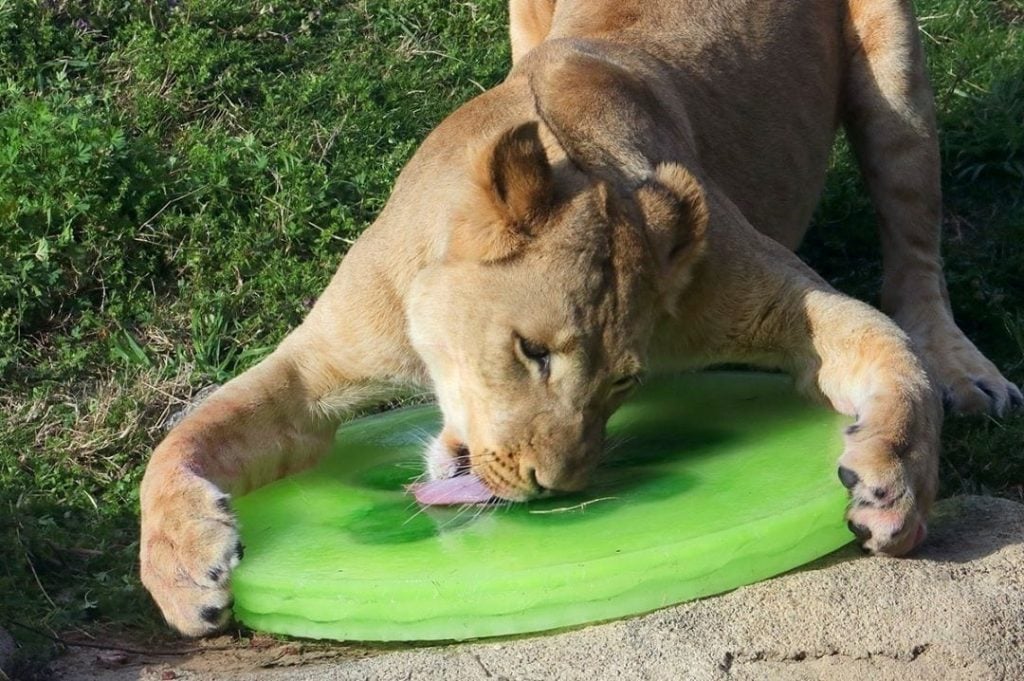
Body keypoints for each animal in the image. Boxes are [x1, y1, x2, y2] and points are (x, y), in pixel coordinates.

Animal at [140, 0, 1022, 635]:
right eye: (532, 351)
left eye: (623, 380)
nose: (553, 488)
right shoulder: (315, 370)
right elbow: (186, 436)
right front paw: (183, 570)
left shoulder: (784, 300)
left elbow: (891, 352)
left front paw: (897, 480)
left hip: (896, 77)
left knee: (916, 255)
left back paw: (968, 372)